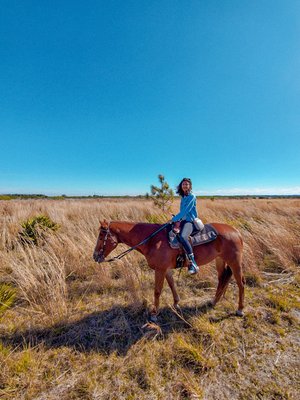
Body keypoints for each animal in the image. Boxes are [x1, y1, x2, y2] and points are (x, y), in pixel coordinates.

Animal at [92, 220, 245, 320]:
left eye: (101, 236)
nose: (95, 256)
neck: (152, 240)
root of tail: (236, 232)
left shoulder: (160, 269)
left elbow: (157, 291)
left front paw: (154, 314)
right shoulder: (165, 269)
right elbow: (172, 284)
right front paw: (176, 303)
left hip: (234, 261)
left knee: (241, 283)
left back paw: (240, 310)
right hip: (220, 260)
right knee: (222, 279)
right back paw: (214, 302)